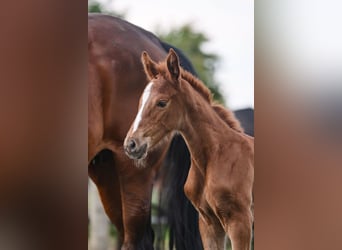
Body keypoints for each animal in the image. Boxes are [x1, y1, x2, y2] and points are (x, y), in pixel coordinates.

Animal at [124, 49, 252, 250]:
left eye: (162, 102)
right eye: (140, 102)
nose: (131, 144)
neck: (216, 156)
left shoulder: (240, 222)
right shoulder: (209, 223)